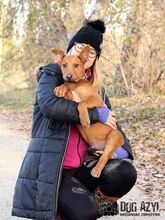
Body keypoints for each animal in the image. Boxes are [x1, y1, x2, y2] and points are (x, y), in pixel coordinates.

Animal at [51, 46, 124, 177]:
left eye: (76, 65)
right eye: (64, 65)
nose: (68, 76)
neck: (75, 84)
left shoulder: (97, 99)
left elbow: (82, 103)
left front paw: (85, 119)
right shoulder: (69, 96)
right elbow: (66, 88)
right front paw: (61, 88)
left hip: (113, 136)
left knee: (105, 156)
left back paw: (96, 170)